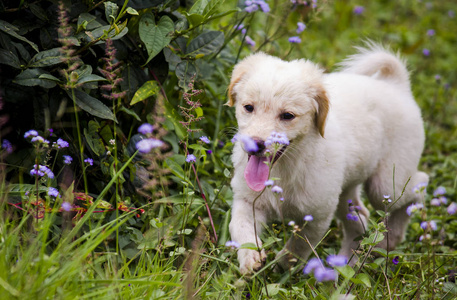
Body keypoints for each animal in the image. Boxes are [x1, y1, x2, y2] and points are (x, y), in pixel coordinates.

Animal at [227, 44, 428, 274]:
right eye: (248, 107)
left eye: (287, 116)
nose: (255, 146)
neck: (286, 167)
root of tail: (396, 85)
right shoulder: (247, 200)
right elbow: (239, 225)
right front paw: (250, 257)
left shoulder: (317, 216)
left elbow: (297, 248)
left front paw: (281, 266)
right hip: (345, 192)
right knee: (359, 220)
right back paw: (346, 266)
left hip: (386, 186)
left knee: (420, 184)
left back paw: (391, 238)